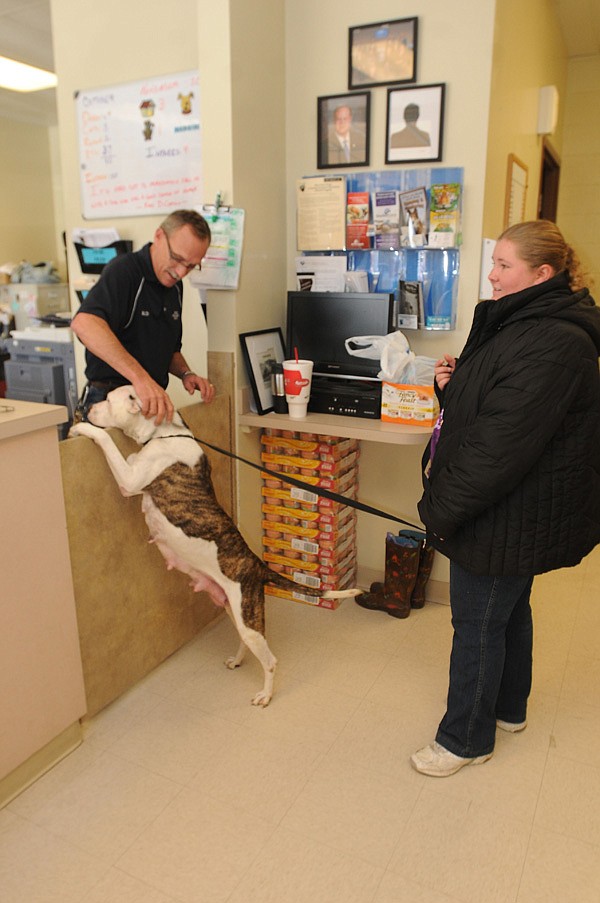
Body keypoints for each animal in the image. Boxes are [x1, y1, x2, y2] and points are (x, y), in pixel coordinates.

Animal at [71, 384, 360, 708]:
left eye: (108, 400)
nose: (88, 409)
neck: (165, 433)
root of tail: (256, 565)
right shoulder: (134, 468)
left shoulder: (129, 481)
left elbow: (108, 442)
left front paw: (83, 428)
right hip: (233, 610)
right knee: (246, 644)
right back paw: (237, 660)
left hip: (247, 617)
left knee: (270, 661)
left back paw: (265, 695)